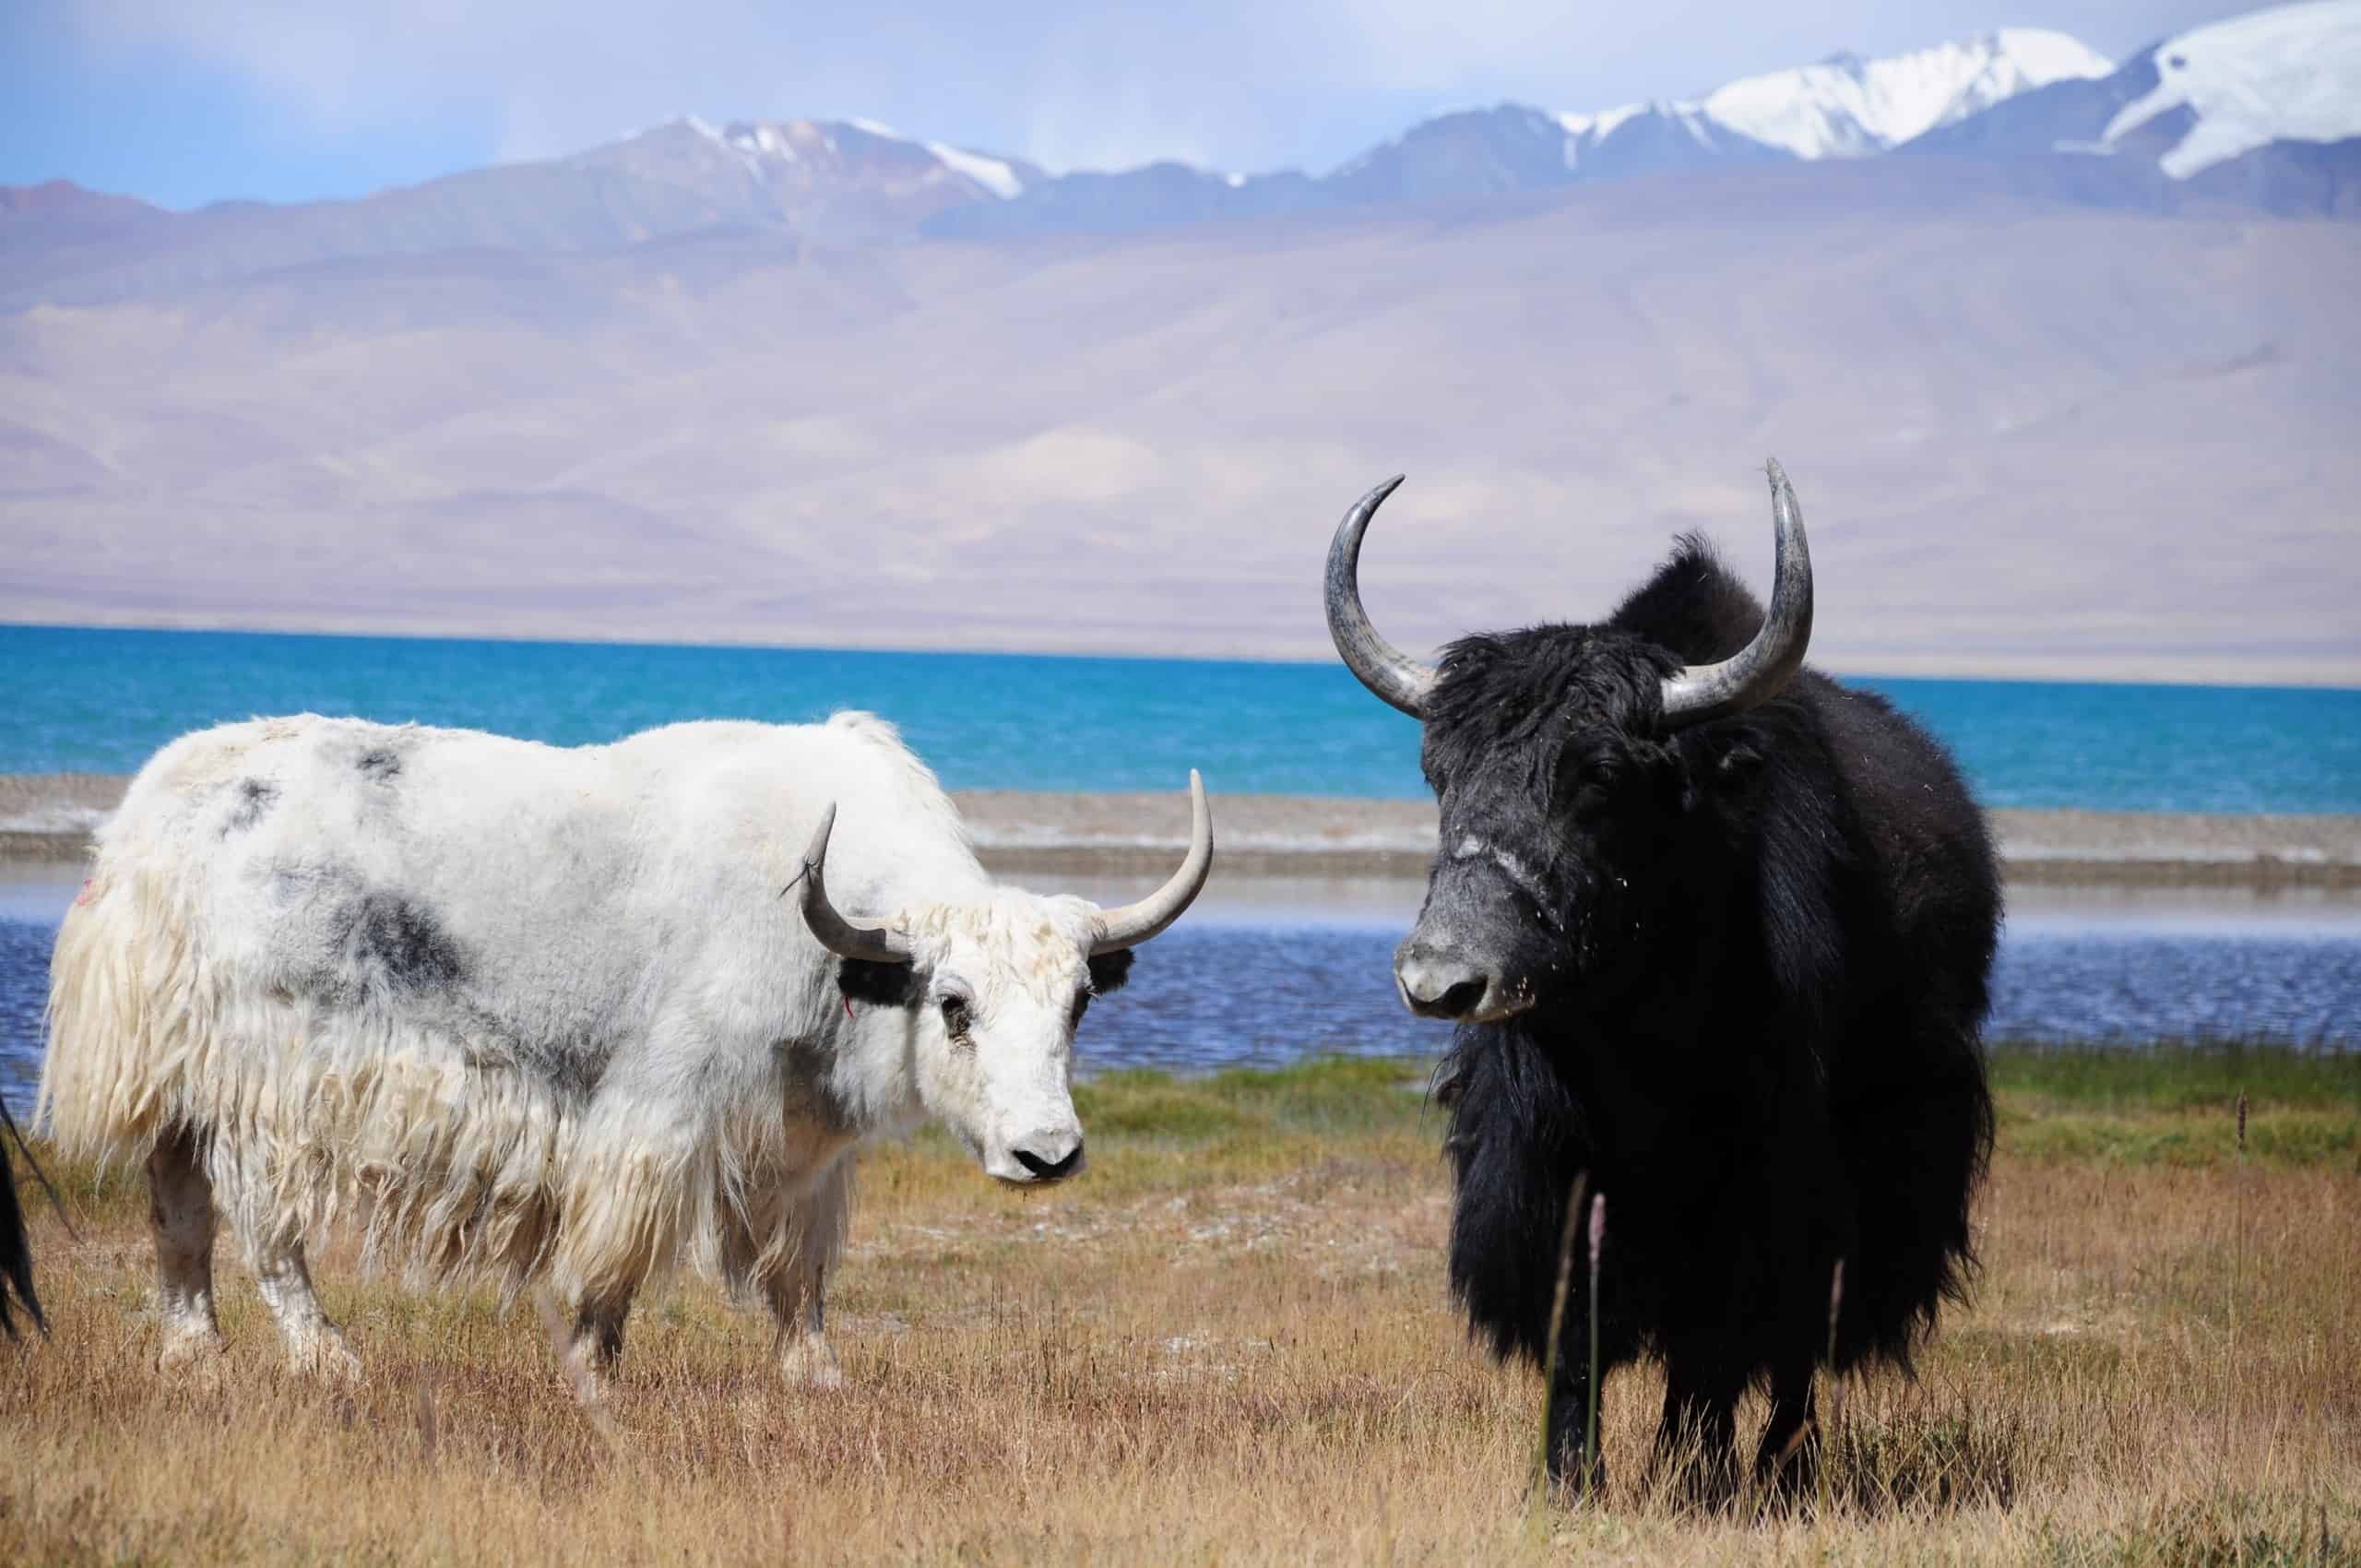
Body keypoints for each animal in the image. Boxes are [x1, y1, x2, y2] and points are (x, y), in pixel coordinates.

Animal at [39, 710, 1211, 1387]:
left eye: (1078, 1004)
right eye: (955, 1003)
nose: (1046, 1154)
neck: (834, 946)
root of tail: (148, 818)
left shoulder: (801, 1147)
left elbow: (797, 1267)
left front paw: (815, 1377)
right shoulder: (662, 1105)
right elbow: (619, 1248)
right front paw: (592, 1377)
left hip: (183, 1068)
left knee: (176, 1202)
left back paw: (196, 1356)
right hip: (267, 1075)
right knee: (258, 1213)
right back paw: (331, 1360)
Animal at [1323, 462, 1998, 1504]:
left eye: (1601, 776)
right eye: (1438, 771)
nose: (1439, 978)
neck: (1631, 1037)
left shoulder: (1759, 1183)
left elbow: (1716, 1344)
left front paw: (1692, 1477)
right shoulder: (1546, 1171)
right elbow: (1577, 1331)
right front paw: (1567, 1481)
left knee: (1796, 1349)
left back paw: (1778, 1468)